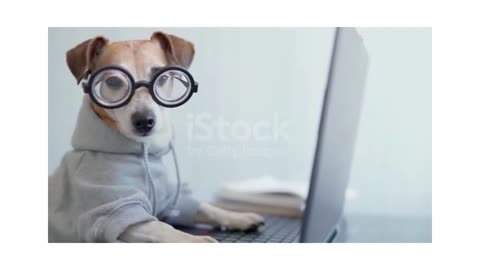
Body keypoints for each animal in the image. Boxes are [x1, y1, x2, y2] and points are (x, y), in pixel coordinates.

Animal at [47, 31, 264, 243]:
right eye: (113, 81)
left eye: (162, 78)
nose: (144, 121)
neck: (142, 152)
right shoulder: (116, 210)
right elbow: (165, 229)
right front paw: (200, 241)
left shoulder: (170, 201)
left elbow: (206, 207)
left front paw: (238, 217)